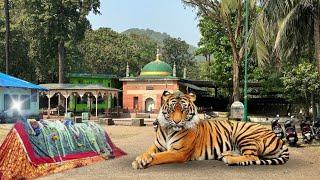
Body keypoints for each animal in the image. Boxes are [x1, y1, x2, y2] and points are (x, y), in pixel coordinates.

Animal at [131, 90, 288, 169]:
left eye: (184, 110)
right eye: (172, 109)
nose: (176, 121)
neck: (169, 129)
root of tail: (278, 137)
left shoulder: (179, 152)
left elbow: (160, 156)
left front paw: (142, 162)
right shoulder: (157, 145)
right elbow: (148, 152)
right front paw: (140, 158)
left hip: (244, 134)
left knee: (253, 156)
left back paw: (229, 159)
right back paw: (225, 154)